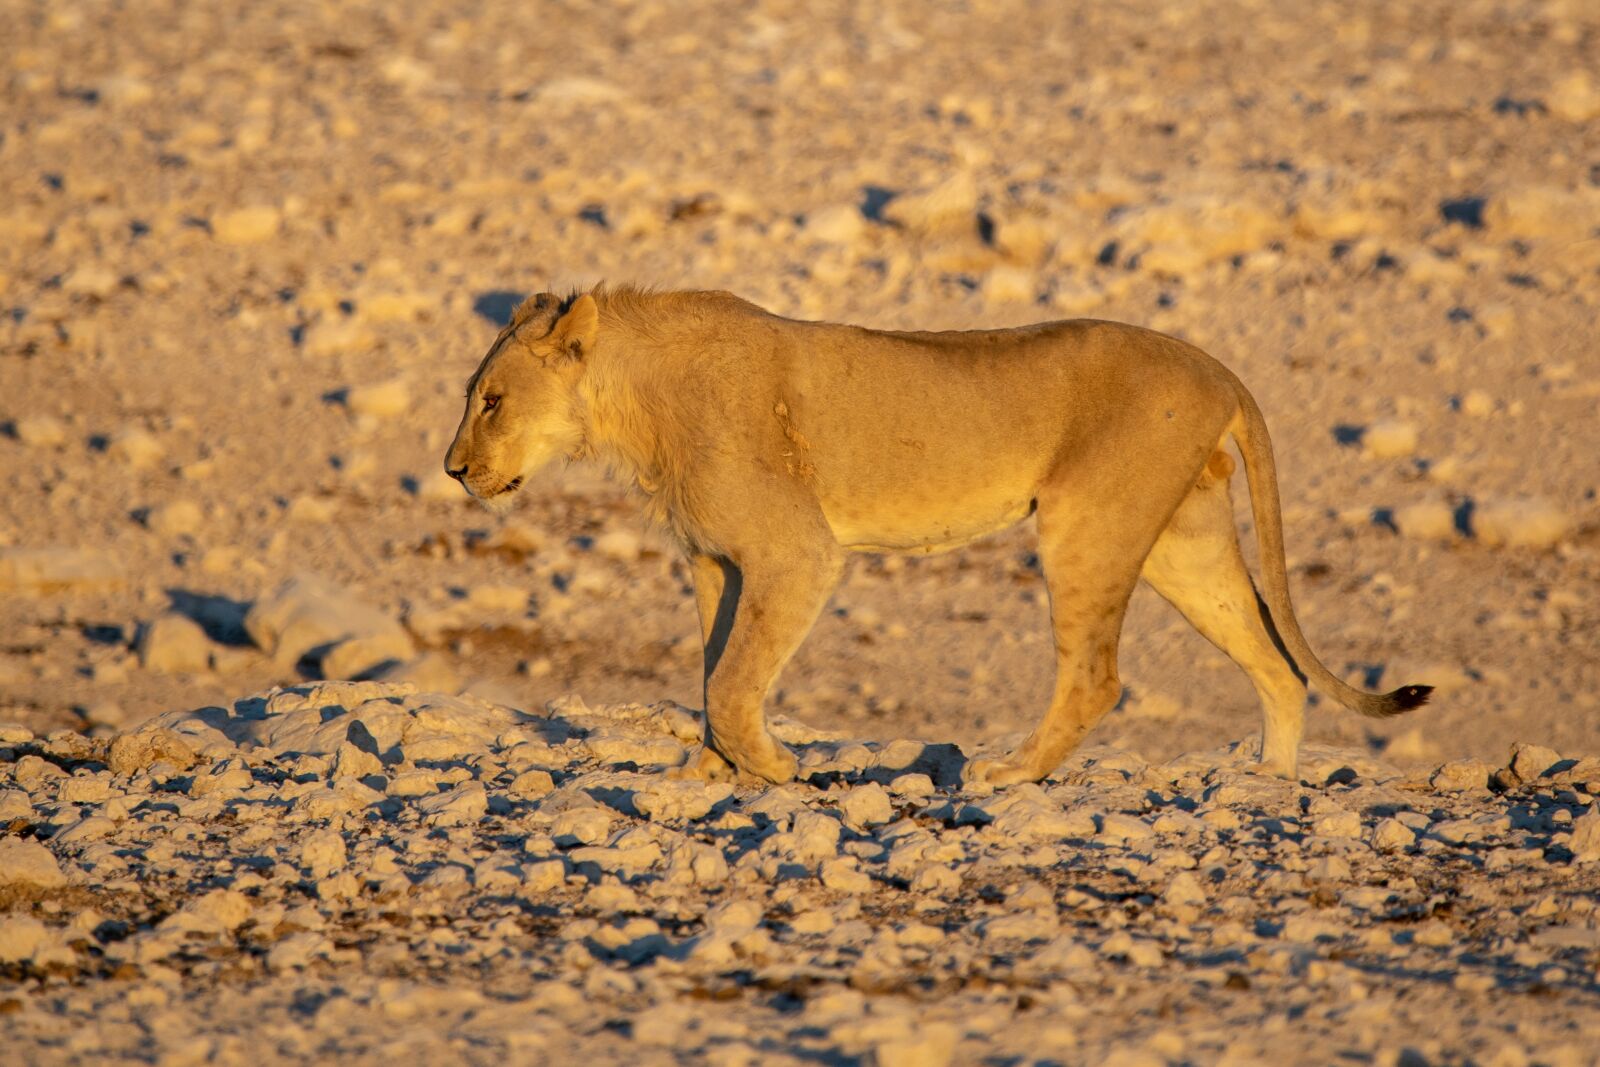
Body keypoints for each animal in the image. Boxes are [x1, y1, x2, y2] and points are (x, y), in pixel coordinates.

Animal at [444, 287, 1433, 790]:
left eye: (491, 400)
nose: (453, 469)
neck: (633, 407)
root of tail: (1218, 364)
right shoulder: (714, 561)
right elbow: (716, 667)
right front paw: (712, 771)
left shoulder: (797, 551)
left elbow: (731, 680)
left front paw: (776, 766)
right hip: (1182, 541)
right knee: (1275, 661)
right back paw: (1271, 781)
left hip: (1085, 524)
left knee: (1097, 675)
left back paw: (1006, 773)